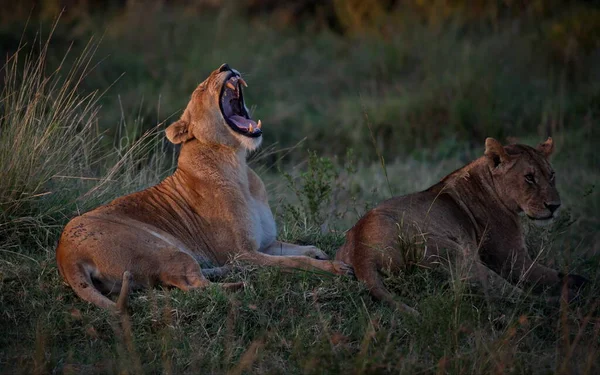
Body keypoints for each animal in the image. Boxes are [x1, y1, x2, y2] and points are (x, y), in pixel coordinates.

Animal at [336, 138, 588, 314]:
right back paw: (565, 302)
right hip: (461, 256)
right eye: (529, 177)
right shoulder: (514, 262)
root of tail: (362, 250)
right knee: (512, 296)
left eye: (551, 175)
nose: (555, 206)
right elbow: (557, 276)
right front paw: (579, 286)